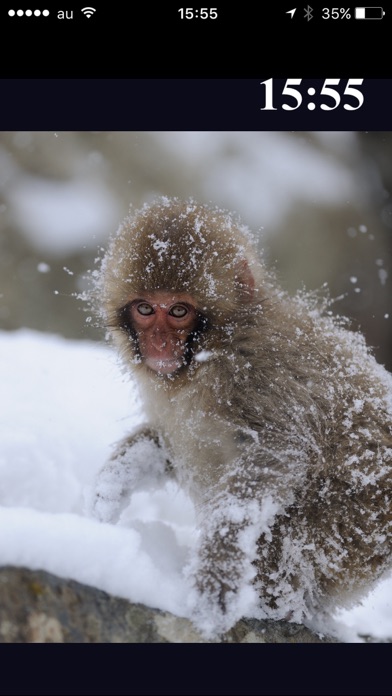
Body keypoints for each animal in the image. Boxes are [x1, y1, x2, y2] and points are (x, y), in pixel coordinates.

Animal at [90, 198, 392, 640]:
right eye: (145, 309)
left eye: (178, 311)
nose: (159, 344)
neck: (214, 349)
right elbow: (164, 444)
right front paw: (105, 495)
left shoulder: (258, 371)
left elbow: (278, 453)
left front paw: (219, 570)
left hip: (360, 526)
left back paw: (277, 607)